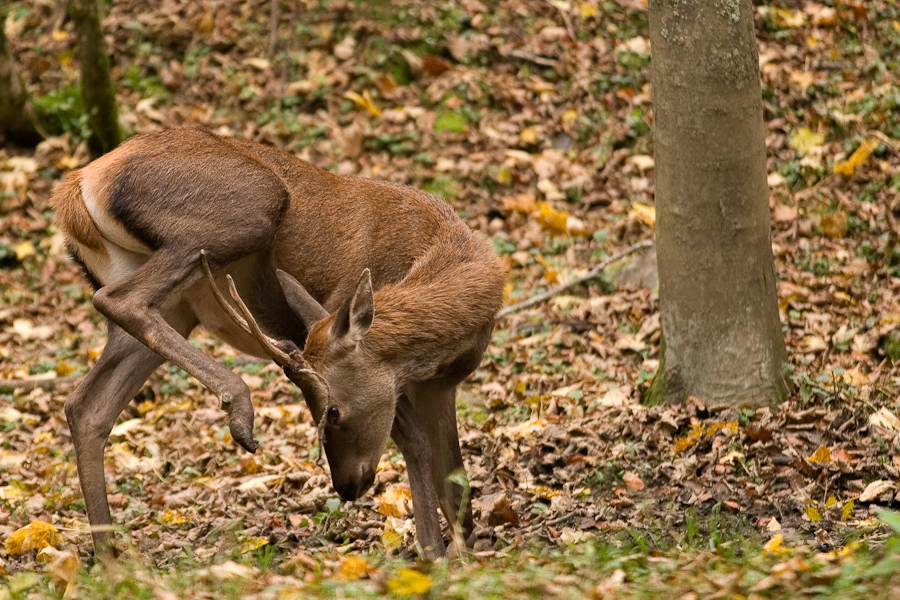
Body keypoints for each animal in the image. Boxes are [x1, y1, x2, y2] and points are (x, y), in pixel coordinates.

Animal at [54, 126, 506, 556]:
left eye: (332, 412)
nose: (346, 487)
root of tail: (78, 187)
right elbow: (419, 445)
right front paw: (435, 556)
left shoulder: (439, 386)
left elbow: (455, 484)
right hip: (252, 208)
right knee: (117, 301)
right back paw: (240, 408)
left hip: (175, 304)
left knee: (87, 406)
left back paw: (112, 560)